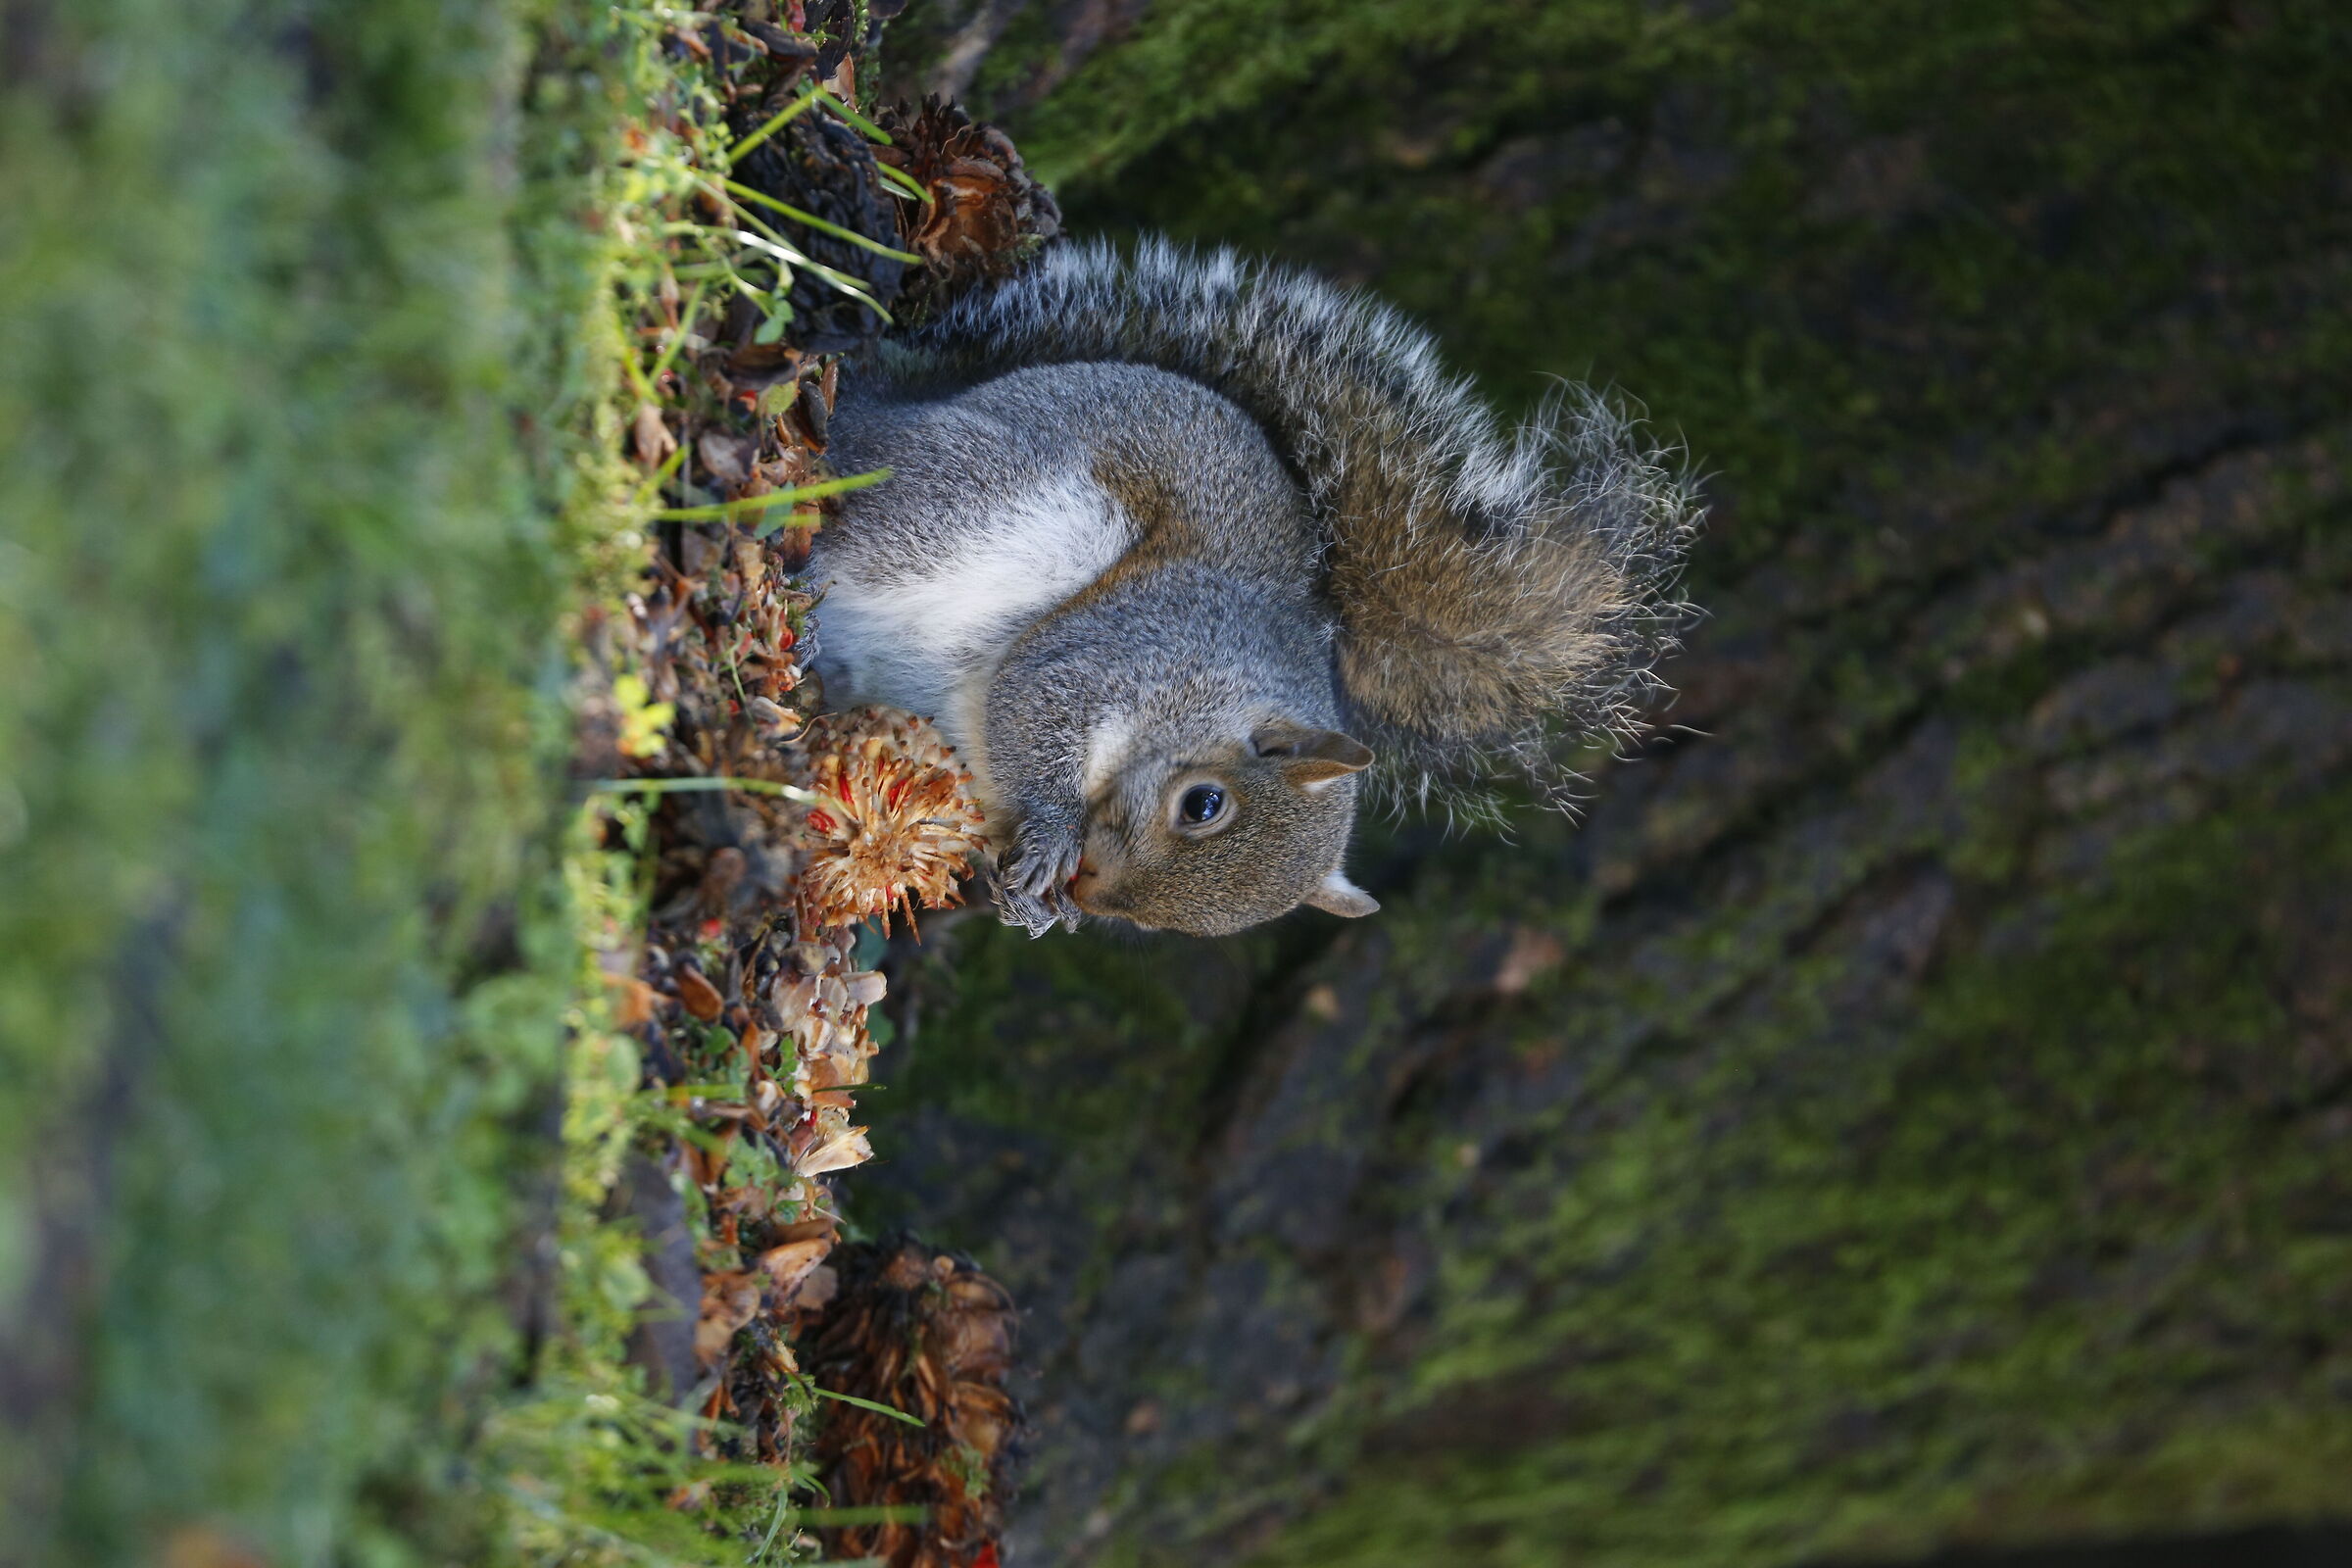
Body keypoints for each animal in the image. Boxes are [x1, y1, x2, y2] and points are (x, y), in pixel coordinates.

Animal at [807, 238, 1698, 937]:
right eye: (1203, 804)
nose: (1091, 889)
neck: (1220, 696)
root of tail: (907, 403)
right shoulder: (1122, 650)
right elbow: (1036, 697)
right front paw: (1055, 833)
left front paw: (1034, 903)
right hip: (997, 498)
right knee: (865, 526)